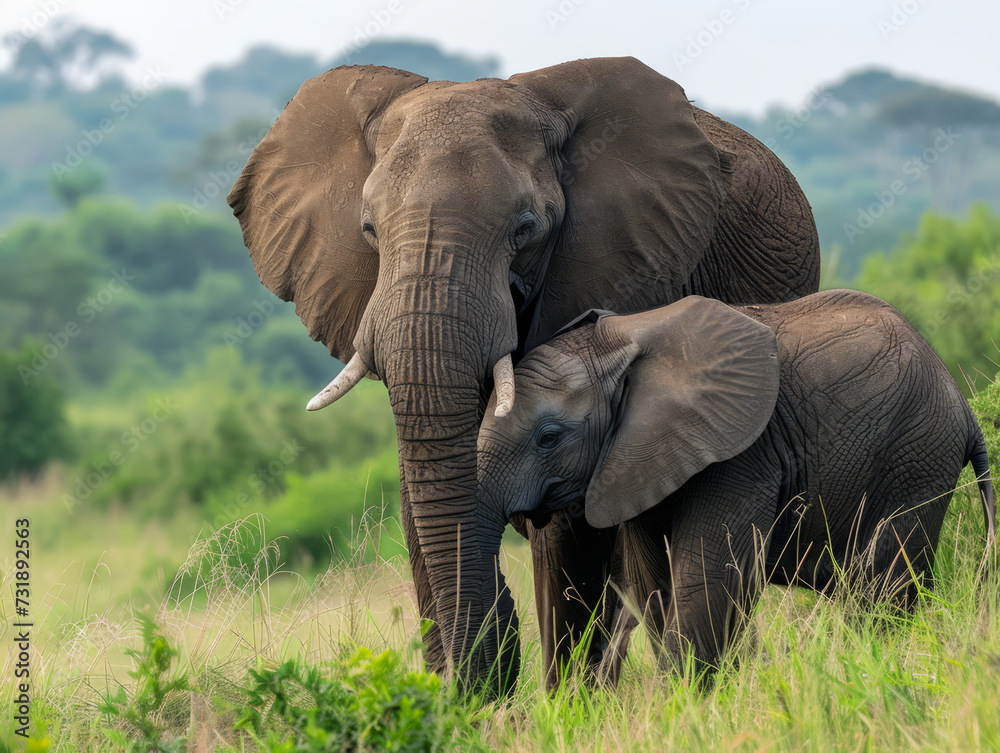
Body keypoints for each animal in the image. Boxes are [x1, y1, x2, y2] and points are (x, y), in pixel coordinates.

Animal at [227, 56, 821, 693]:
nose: (490, 675)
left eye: (526, 228)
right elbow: (421, 491)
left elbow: (568, 516)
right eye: (368, 230)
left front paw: (571, 703)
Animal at [477, 290, 996, 687]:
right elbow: (653, 586)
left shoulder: (742, 454)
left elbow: (707, 579)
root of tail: (963, 406)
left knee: (881, 591)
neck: (626, 335)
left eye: (548, 437)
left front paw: (683, 706)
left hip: (917, 456)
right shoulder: (634, 463)